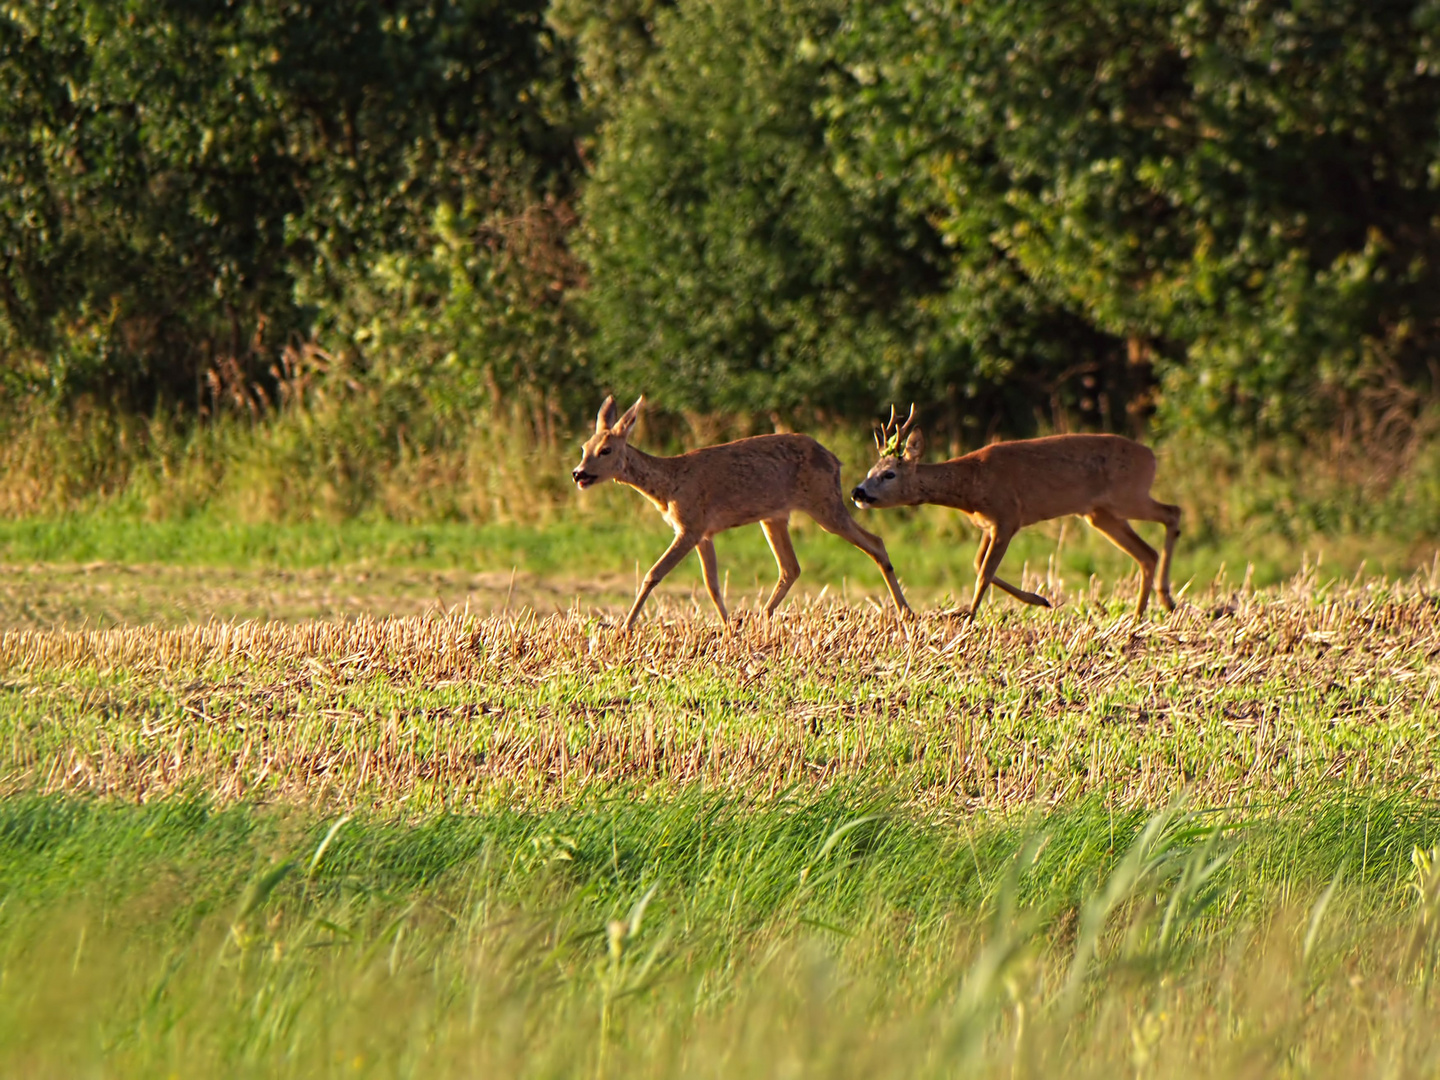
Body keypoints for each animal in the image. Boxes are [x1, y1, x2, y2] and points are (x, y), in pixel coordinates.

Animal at [573, 397, 910, 633]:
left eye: (606, 450)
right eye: (583, 447)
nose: (578, 473)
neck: (669, 485)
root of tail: (834, 459)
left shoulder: (689, 526)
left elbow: (653, 573)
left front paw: (625, 628)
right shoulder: (703, 533)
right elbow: (712, 584)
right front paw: (728, 628)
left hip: (824, 504)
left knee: (875, 542)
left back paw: (906, 613)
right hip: (775, 517)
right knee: (791, 567)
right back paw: (762, 618)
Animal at [852, 408, 1180, 624]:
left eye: (889, 474)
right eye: (870, 471)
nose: (857, 492)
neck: (972, 485)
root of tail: (1151, 456)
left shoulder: (1007, 516)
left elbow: (984, 572)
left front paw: (967, 615)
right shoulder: (988, 525)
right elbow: (978, 565)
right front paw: (1040, 599)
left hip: (1128, 496)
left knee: (1172, 513)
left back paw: (1165, 601)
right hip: (1101, 513)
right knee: (1147, 553)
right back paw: (1139, 615)